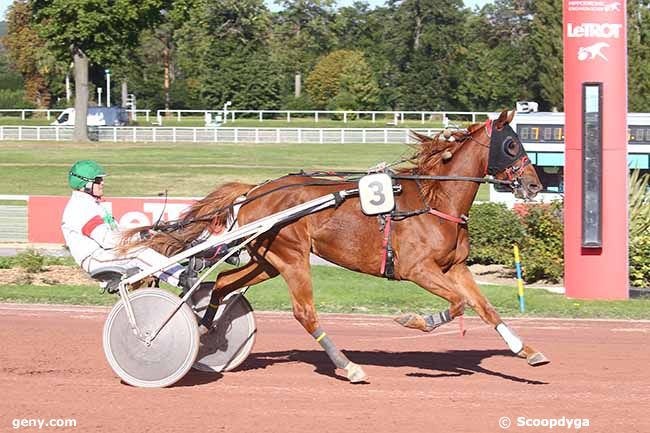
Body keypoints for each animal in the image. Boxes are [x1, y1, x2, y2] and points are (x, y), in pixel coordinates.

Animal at [120, 109, 548, 382]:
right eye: (512, 145)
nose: (534, 185)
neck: (435, 200)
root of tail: (253, 192)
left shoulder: (453, 268)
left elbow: (485, 307)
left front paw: (527, 351)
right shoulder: (418, 270)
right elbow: (457, 304)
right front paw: (416, 321)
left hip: (269, 260)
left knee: (224, 283)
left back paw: (207, 331)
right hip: (292, 257)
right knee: (305, 313)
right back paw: (349, 366)